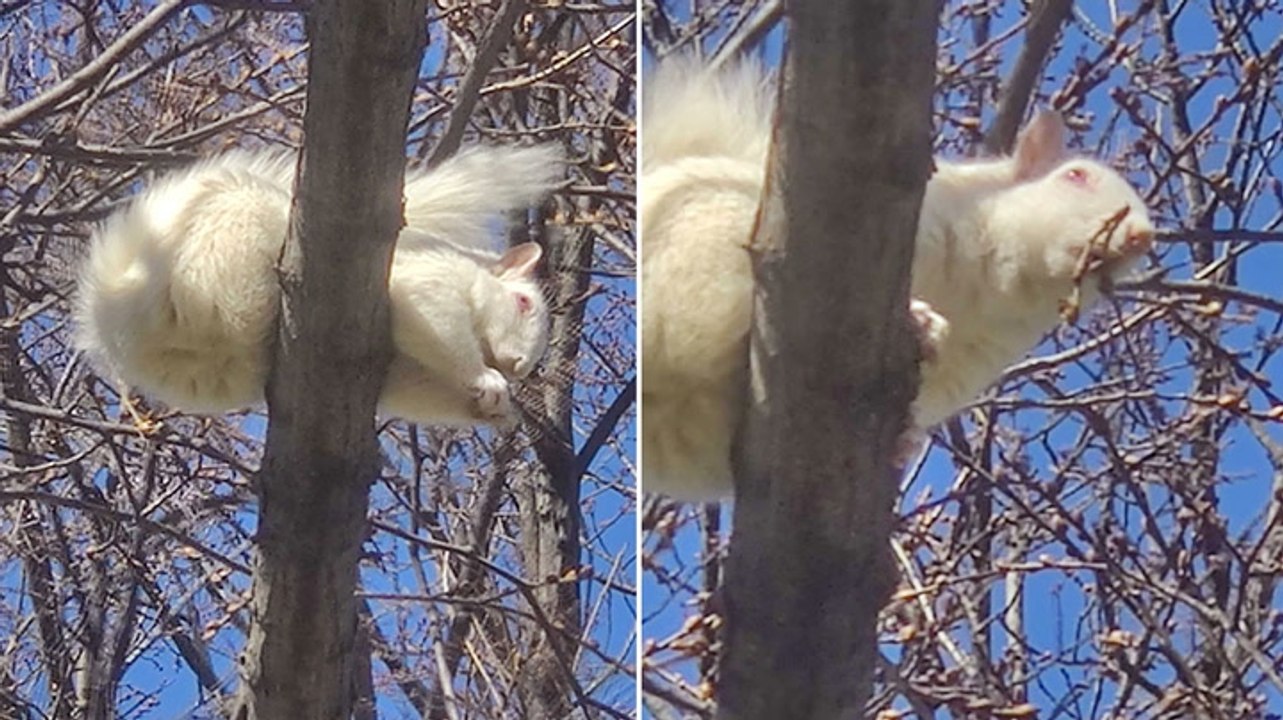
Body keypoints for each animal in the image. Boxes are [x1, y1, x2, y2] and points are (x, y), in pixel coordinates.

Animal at [75, 143, 562, 427]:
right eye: (523, 302)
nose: (519, 367)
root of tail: (117, 316)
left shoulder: (395, 367)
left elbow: (419, 389)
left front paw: (497, 412)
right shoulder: (425, 285)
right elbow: (442, 330)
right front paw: (485, 378)